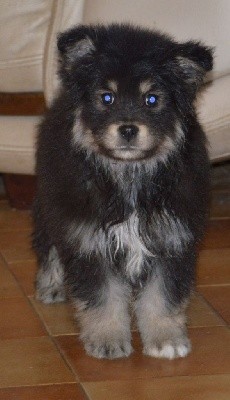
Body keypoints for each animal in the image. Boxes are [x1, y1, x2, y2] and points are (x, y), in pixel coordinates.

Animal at [33, 24, 213, 360]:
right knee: (48, 243)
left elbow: (162, 295)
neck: (129, 176)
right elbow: (103, 296)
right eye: (107, 97)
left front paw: (166, 339)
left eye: (152, 99)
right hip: (48, 202)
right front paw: (107, 340)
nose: (128, 129)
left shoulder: (171, 238)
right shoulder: (89, 238)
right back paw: (50, 285)